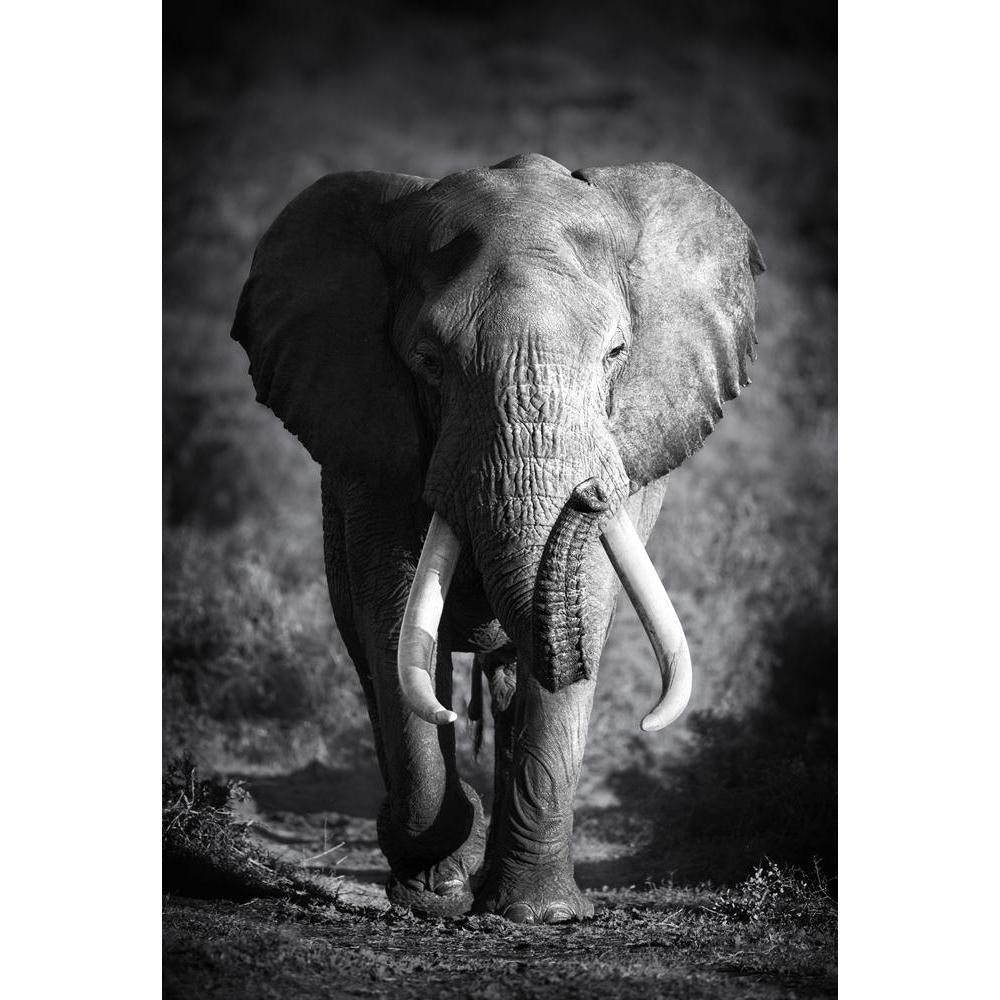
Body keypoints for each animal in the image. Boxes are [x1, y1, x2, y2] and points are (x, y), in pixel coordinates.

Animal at [231, 152, 764, 924]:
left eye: (617, 354)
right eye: (429, 362)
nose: (589, 493)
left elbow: (587, 606)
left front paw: (539, 915)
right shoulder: (372, 446)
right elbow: (392, 617)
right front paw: (433, 888)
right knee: (371, 654)